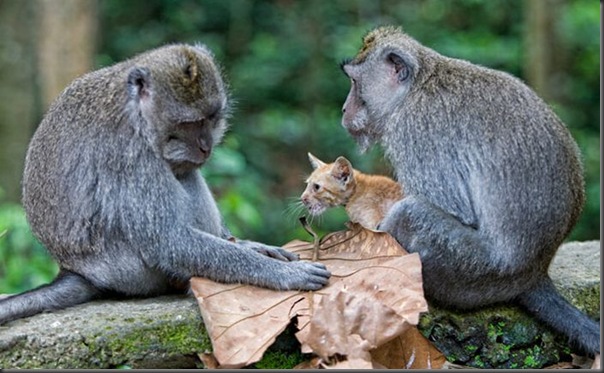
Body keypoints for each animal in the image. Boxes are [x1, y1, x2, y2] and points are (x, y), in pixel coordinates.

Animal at [0, 42, 330, 324]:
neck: (136, 111)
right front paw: (284, 274)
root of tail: (76, 270)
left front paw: (251, 246)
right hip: (131, 273)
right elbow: (168, 241)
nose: (205, 146)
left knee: (184, 172)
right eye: (188, 123)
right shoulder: (129, 153)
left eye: (210, 117)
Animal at [340, 26, 600, 354]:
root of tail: (535, 272)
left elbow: (454, 209)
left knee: (410, 213)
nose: (344, 109)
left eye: (354, 82)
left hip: (475, 271)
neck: (417, 87)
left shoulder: (416, 132)